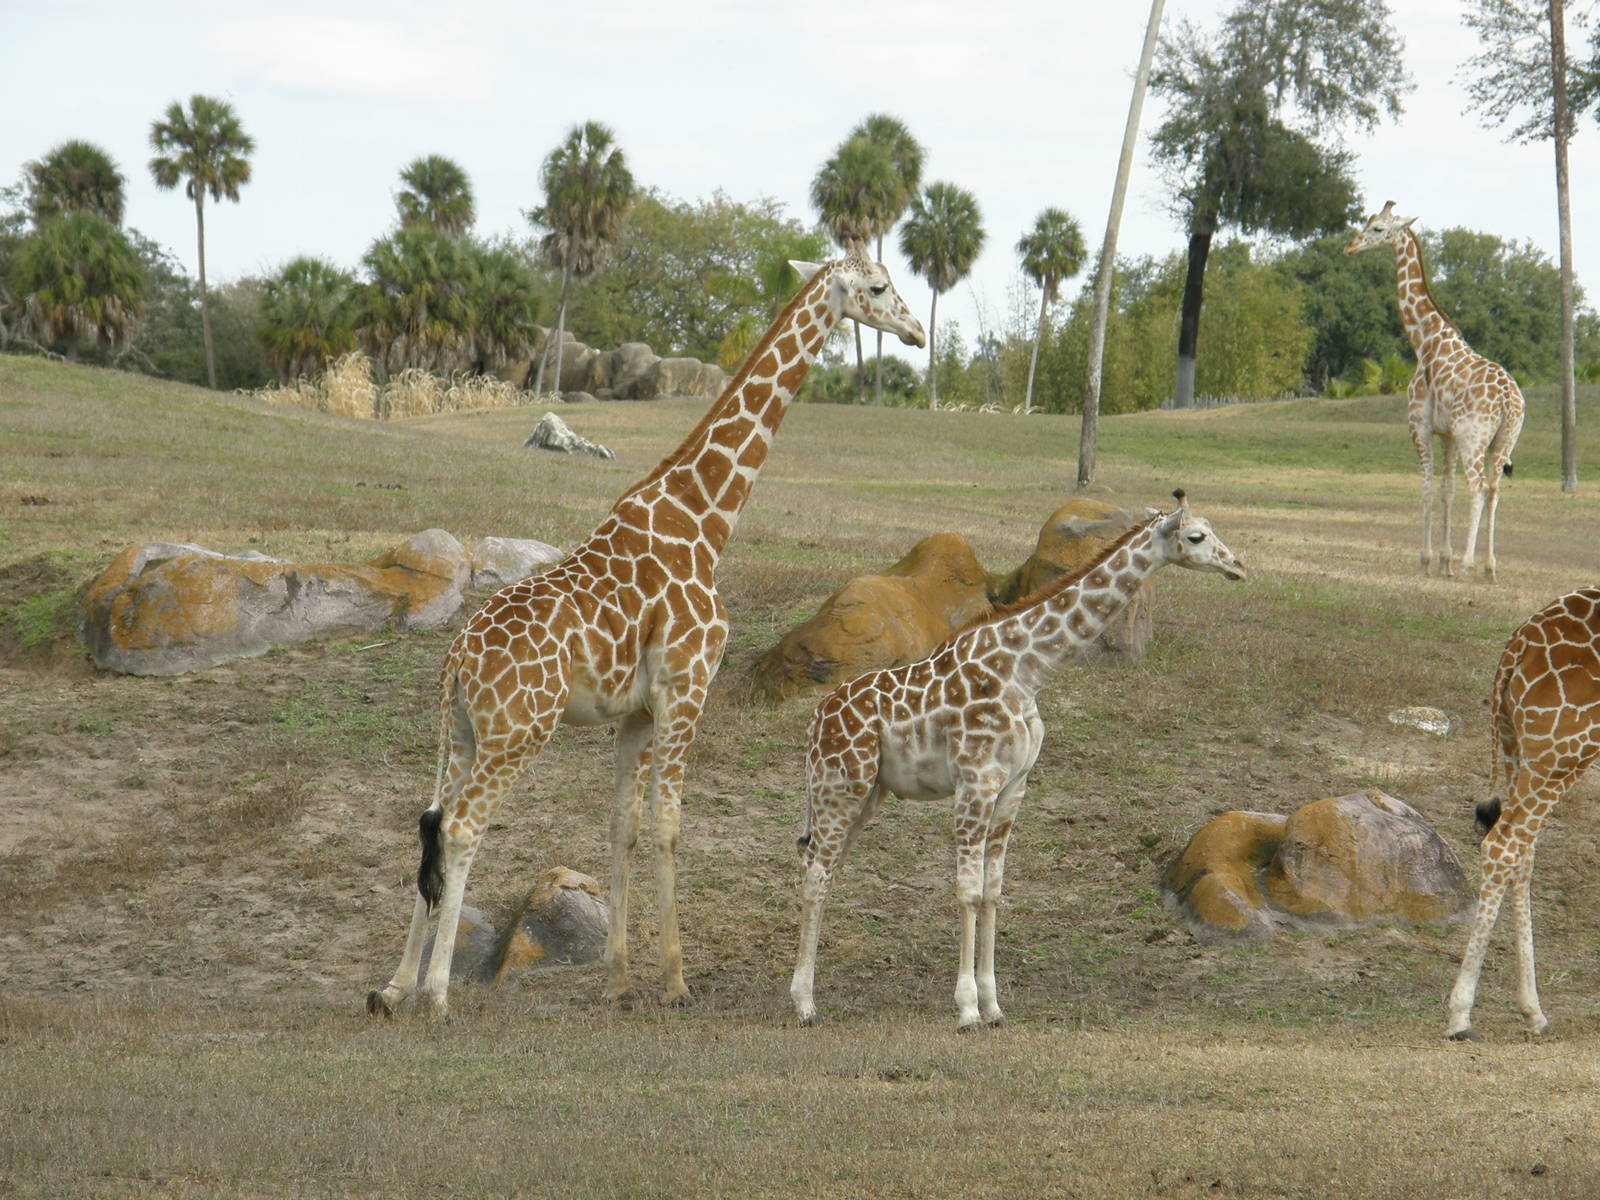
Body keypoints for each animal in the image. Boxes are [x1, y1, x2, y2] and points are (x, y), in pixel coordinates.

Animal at [366, 240, 926, 1018]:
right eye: (877, 286)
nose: (918, 332)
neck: (706, 517)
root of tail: (455, 662)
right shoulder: (686, 689)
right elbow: (669, 825)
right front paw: (676, 979)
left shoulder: (632, 710)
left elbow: (621, 826)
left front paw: (619, 976)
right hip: (517, 734)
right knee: (461, 826)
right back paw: (438, 993)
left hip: (460, 734)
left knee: (429, 824)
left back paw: (393, 986)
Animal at [790, 492, 1245, 1030]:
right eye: (1196, 536)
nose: (1237, 566)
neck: (1026, 670)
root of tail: (815, 721)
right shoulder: (975, 781)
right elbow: (967, 890)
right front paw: (966, 1008)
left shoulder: (1014, 786)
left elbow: (993, 891)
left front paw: (993, 1006)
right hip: (841, 784)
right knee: (816, 872)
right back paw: (804, 1004)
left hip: (865, 793)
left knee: (823, 866)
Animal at [1343, 201, 1524, 581]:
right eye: (1368, 221)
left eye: (1378, 228)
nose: (1349, 247)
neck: (1423, 340)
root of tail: (1508, 400)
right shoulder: (1449, 435)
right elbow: (1446, 490)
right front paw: (1445, 560)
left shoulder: (1421, 427)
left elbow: (1426, 487)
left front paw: (1427, 559)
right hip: (1504, 440)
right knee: (1494, 488)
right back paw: (1490, 566)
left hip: (1475, 438)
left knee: (1478, 486)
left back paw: (1470, 562)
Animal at [1446, 587, 1600, 1041]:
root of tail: (1518, 643)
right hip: (1561, 752)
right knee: (1504, 845)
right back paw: (1461, 1015)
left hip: (1520, 745)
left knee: (1522, 851)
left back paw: (1532, 1010)